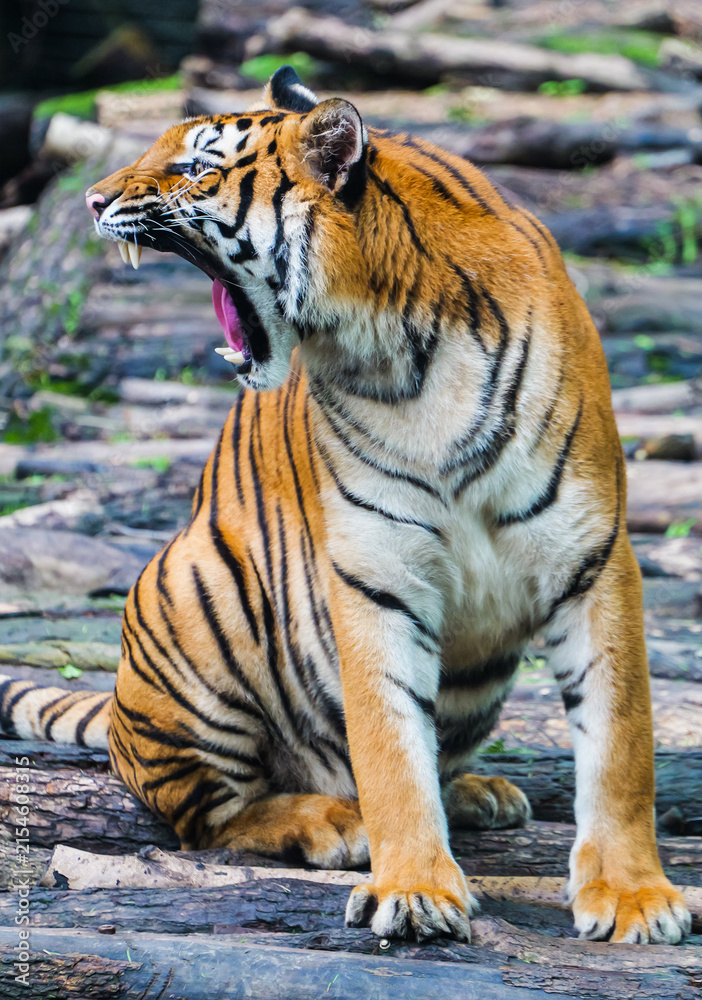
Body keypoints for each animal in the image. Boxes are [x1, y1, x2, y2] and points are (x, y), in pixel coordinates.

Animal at [0, 66, 690, 945]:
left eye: (194, 167)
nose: (90, 199)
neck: (403, 346)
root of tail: (120, 710)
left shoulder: (591, 556)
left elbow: (621, 741)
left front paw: (635, 895)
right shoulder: (376, 570)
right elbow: (389, 745)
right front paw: (417, 889)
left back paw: (478, 794)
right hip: (195, 586)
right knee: (202, 818)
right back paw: (330, 821)